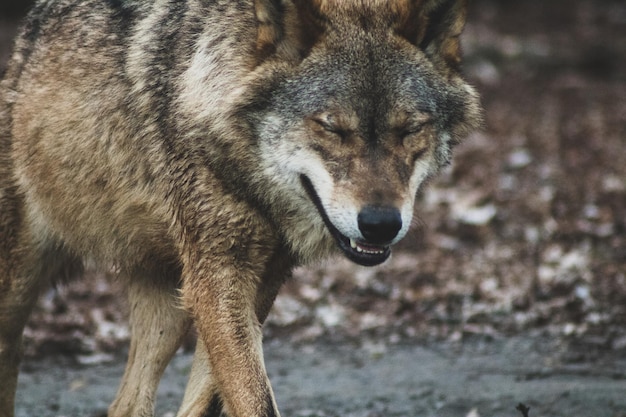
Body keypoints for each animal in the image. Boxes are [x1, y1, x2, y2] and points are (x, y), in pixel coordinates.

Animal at [0, 0, 480, 414]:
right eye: (332, 128)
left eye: (410, 129)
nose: (381, 224)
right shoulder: (218, 280)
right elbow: (253, 398)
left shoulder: (258, 283)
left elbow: (214, 399)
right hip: (20, 292)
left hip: (170, 308)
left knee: (127, 406)